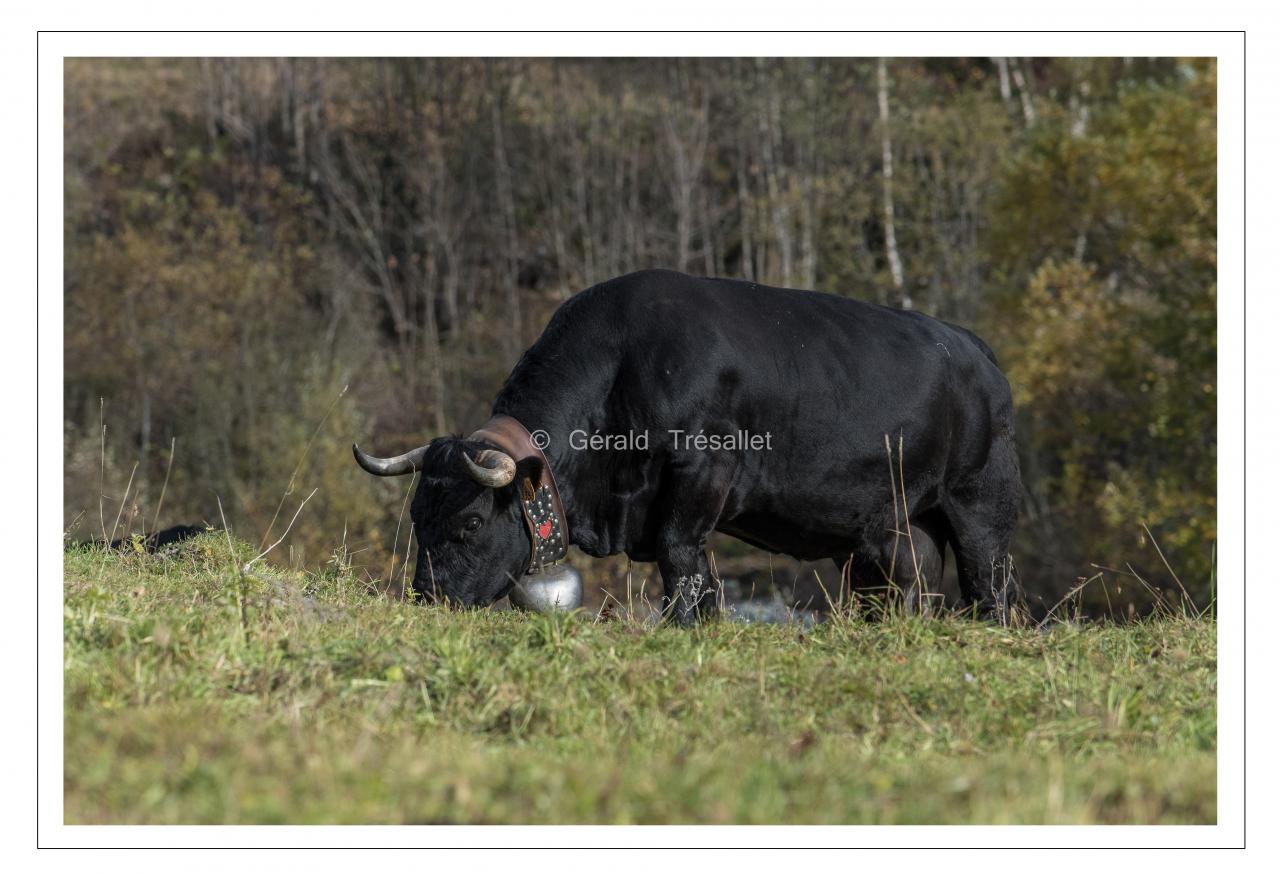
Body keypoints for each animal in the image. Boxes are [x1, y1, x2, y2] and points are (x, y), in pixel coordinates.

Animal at [355, 270, 1024, 624]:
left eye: (470, 522)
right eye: (416, 515)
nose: (427, 598)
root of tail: (972, 347)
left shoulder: (704, 469)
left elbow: (681, 557)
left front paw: (686, 625)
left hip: (978, 503)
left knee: (990, 583)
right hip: (896, 527)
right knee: (903, 586)